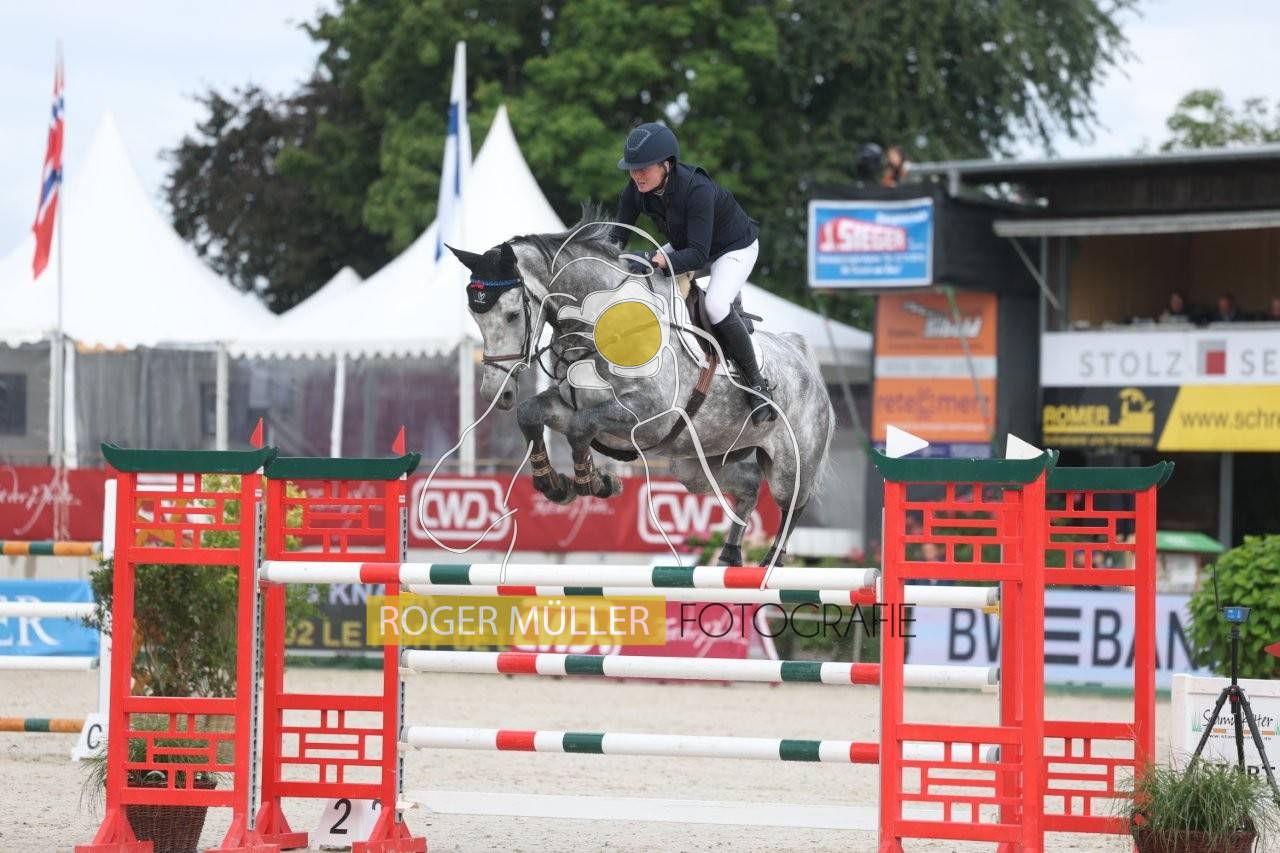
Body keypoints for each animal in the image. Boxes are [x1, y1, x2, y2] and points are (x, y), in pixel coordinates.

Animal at [448, 213, 833, 567]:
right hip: (696, 465)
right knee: (750, 483)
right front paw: (558, 485)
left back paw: (769, 563)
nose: (495, 393)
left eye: (513, 314)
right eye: (475, 315)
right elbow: (535, 415)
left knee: (792, 505)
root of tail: (801, 355)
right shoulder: (571, 406)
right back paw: (729, 555)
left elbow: (580, 428)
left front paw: (593, 482)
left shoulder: (648, 417)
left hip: (789, 465)